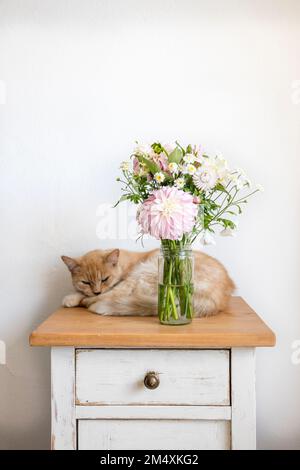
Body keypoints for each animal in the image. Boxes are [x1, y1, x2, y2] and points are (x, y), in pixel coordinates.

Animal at [61, 248, 234, 318]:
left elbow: (105, 293)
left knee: (107, 297)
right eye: (85, 282)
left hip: (144, 272)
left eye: (105, 279)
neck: (124, 264)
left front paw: (73, 298)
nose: (96, 290)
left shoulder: (125, 281)